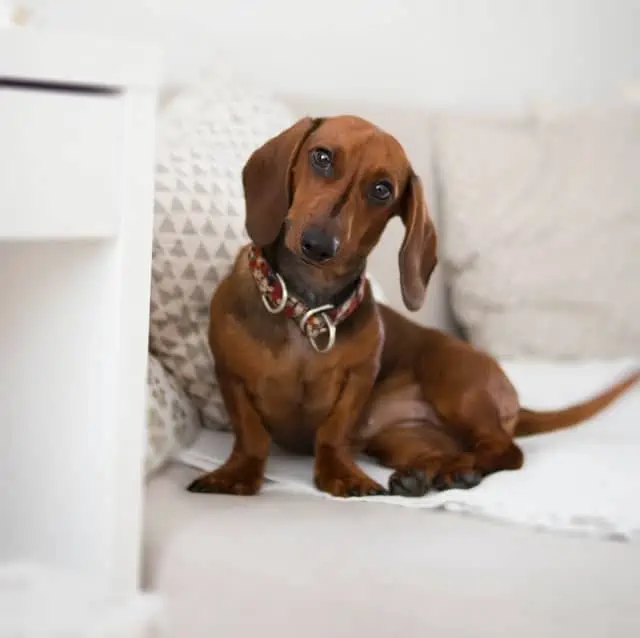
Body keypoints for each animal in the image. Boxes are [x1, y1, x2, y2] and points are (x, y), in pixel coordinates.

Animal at [186, 117, 640, 502]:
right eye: (322, 157)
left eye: (382, 189)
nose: (318, 244)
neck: (308, 310)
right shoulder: (229, 374)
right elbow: (250, 434)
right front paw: (236, 474)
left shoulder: (358, 379)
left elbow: (332, 433)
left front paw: (342, 473)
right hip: (402, 438)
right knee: (450, 451)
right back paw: (428, 473)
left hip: (454, 382)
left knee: (505, 450)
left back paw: (455, 472)